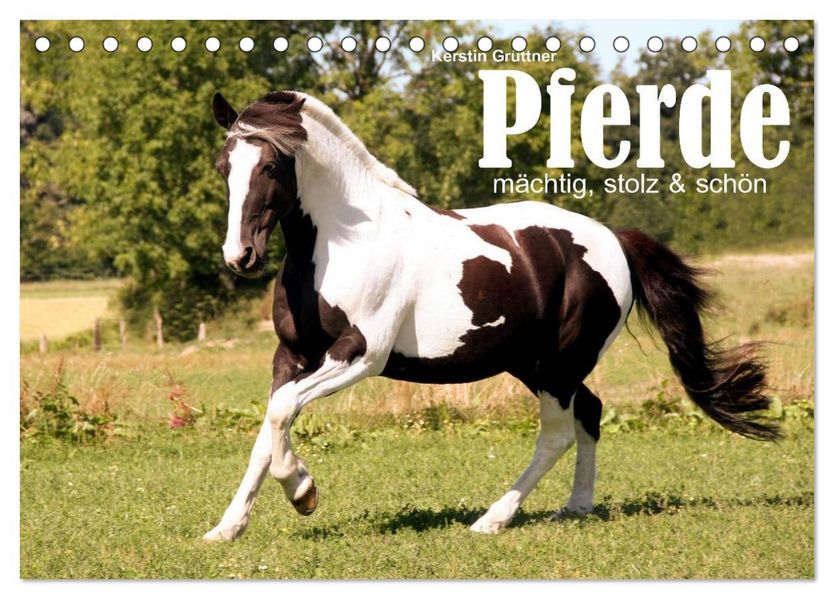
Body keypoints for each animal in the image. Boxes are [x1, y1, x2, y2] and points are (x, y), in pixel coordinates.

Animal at [202, 90, 779, 541]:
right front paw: (227, 528)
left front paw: (303, 492)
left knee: (557, 434)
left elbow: (281, 416)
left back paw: (493, 519)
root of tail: (613, 240)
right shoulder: (292, 356)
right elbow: (270, 426)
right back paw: (577, 507)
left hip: (559, 365)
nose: (240, 256)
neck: (343, 242)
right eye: (224, 167)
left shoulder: (360, 356)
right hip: (533, 363)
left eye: (270, 166)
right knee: (590, 413)